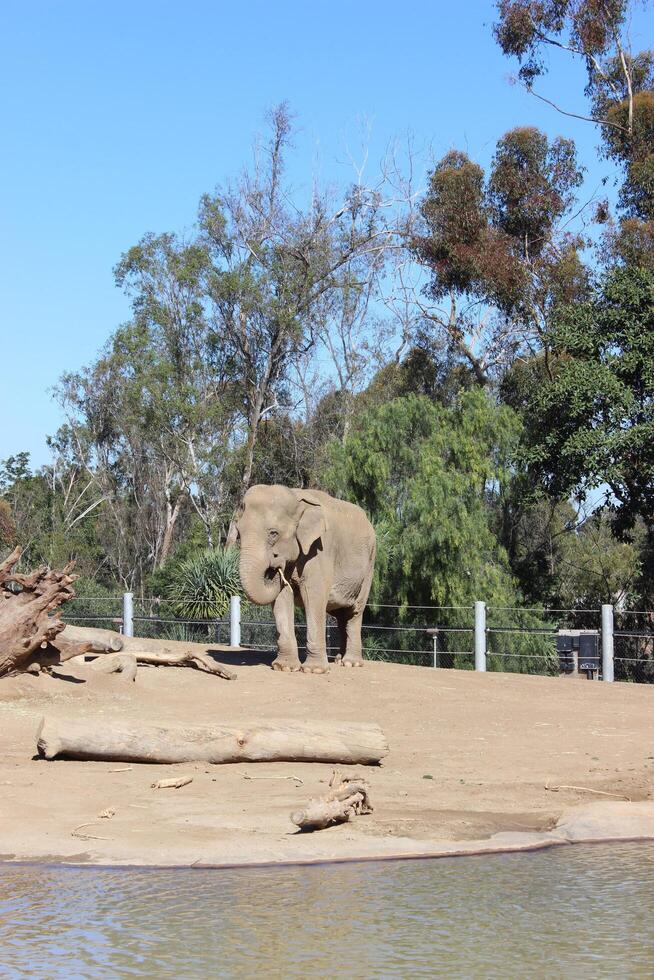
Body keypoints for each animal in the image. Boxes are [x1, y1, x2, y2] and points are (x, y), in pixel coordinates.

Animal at [238, 484, 376, 672]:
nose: (275, 564)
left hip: (369, 565)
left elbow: (314, 595)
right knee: (341, 616)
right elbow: (282, 598)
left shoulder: (320, 550)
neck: (296, 497)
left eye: (273, 533)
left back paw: (350, 663)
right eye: (238, 533)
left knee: (354, 612)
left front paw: (314, 670)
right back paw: (339, 660)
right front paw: (284, 667)